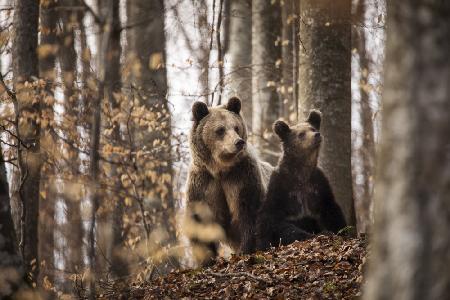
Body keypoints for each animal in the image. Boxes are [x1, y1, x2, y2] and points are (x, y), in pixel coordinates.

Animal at [185, 97, 272, 264]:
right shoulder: (203, 184)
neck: (221, 170)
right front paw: (206, 259)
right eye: (220, 130)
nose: (238, 142)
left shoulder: (242, 178)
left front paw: (245, 250)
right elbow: (199, 222)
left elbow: (248, 213)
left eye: (236, 127)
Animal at [255, 110, 346, 251]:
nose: (317, 135)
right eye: (301, 134)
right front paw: (311, 235)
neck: (301, 172)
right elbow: (275, 219)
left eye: (313, 128)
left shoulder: (318, 184)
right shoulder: (281, 186)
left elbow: (331, 209)